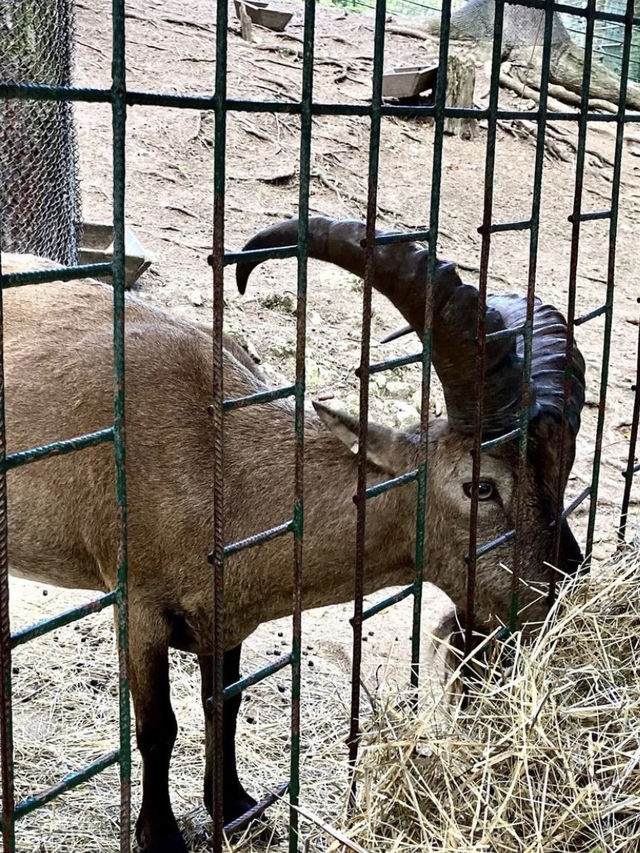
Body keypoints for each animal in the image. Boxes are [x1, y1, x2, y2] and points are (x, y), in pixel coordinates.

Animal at [2, 228, 584, 852]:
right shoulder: (138, 607)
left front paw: (235, 806)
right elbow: (158, 728)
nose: (561, 589)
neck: (225, 469)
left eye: (561, 470)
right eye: (481, 486)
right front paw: (161, 837)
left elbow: (225, 703)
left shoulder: (223, 616)